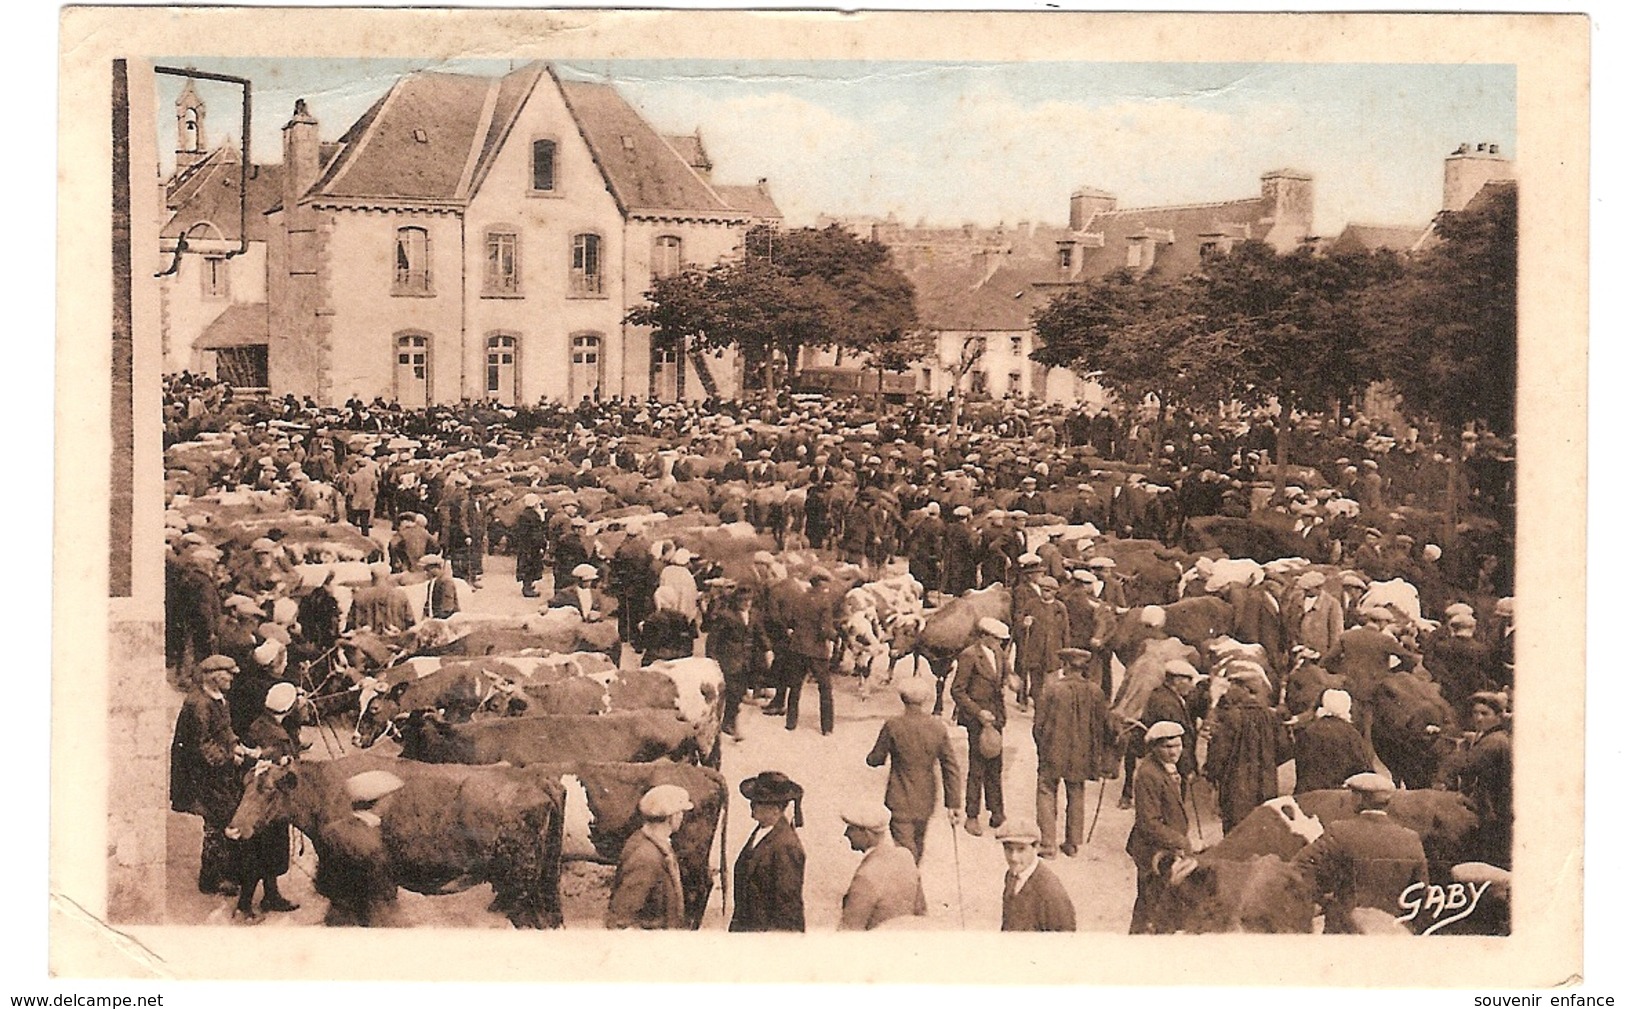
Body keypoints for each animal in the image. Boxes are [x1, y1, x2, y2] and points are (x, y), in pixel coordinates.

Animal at [222, 750, 565, 922]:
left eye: (268, 790)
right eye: (244, 784)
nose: (232, 829)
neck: (330, 794)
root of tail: (536, 777)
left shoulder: (376, 881)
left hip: (521, 887)